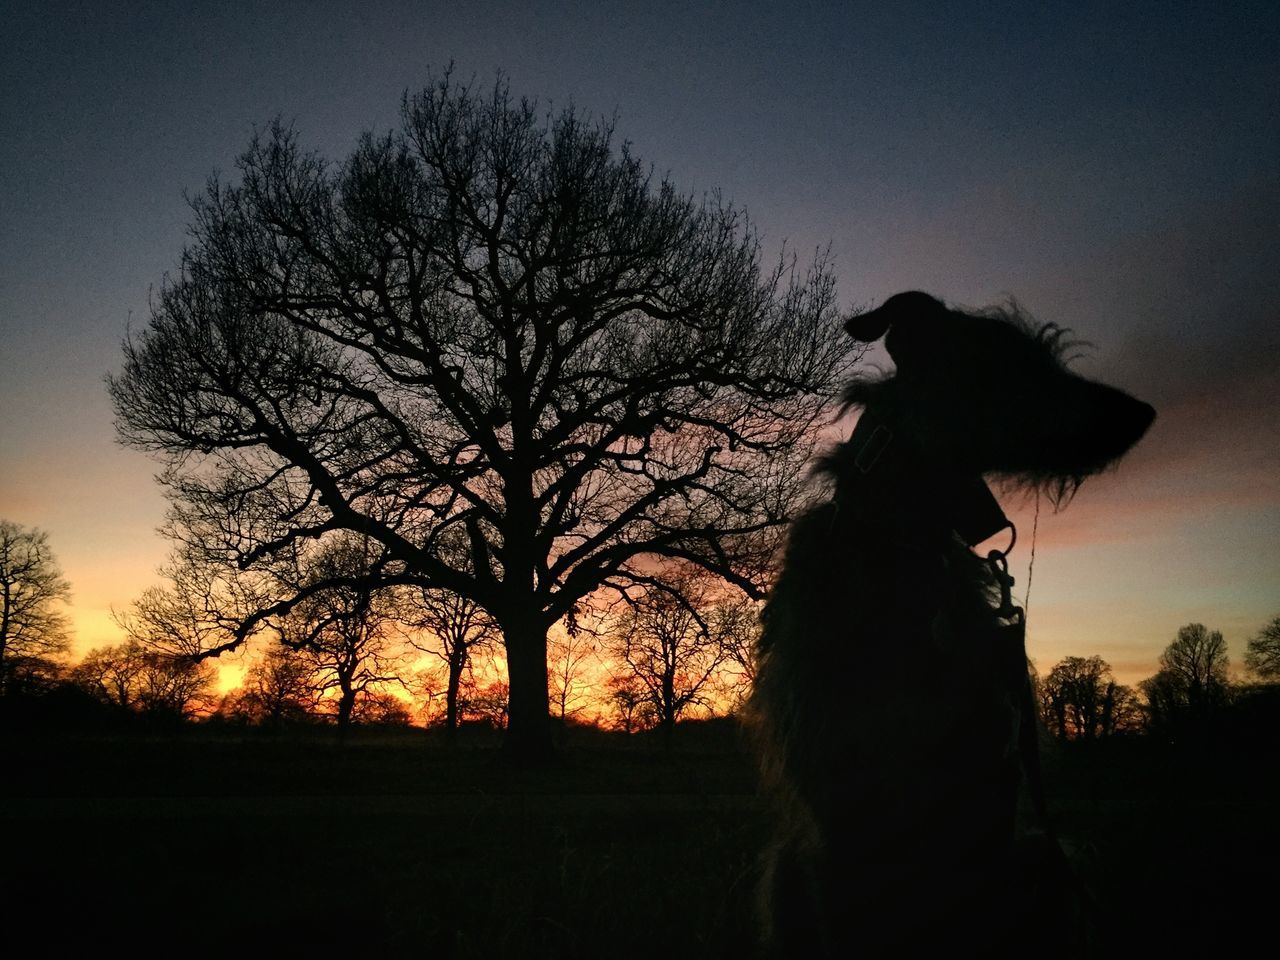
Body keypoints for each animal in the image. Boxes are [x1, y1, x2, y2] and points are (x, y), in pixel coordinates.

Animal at [747, 293, 1162, 960]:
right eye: (1011, 360)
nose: (1142, 412)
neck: (899, 548)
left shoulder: (984, 778)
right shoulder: (842, 807)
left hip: (1041, 862)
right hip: (791, 872)